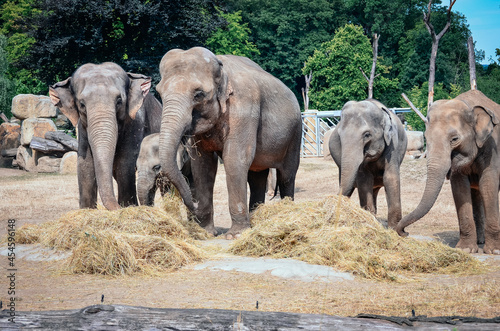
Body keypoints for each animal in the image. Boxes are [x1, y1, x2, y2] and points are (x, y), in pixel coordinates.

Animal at [49, 62, 161, 211]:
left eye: (119, 101)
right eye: (82, 104)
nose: (119, 207)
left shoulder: (136, 121)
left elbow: (125, 163)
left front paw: (128, 207)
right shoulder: (82, 127)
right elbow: (85, 164)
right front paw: (87, 210)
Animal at [156, 46, 300, 239]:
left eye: (198, 95)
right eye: (159, 93)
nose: (194, 205)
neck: (221, 68)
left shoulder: (244, 108)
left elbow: (234, 160)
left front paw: (235, 235)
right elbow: (202, 165)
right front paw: (207, 232)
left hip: (295, 134)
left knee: (287, 175)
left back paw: (285, 211)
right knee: (256, 177)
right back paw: (255, 217)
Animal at [330, 98, 408, 230]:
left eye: (367, 135)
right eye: (339, 136)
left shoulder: (393, 146)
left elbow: (390, 178)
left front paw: (394, 230)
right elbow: (364, 179)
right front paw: (370, 219)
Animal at [398, 89, 500, 255]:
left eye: (454, 139)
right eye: (426, 138)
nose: (405, 232)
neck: (468, 105)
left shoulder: (492, 148)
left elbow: (488, 184)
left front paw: (494, 251)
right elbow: (460, 188)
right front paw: (466, 249)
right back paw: (480, 241)